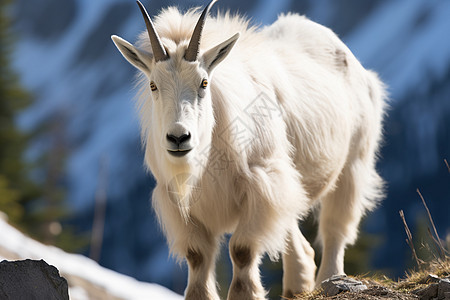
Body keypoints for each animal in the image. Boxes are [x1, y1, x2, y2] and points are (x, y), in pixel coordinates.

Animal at [111, 1, 386, 298]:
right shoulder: (180, 202)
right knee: (301, 246)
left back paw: (330, 278)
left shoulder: (260, 188)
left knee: (336, 229)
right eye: (153, 85)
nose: (178, 138)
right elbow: (197, 258)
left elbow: (241, 252)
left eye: (204, 82)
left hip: (353, 164)